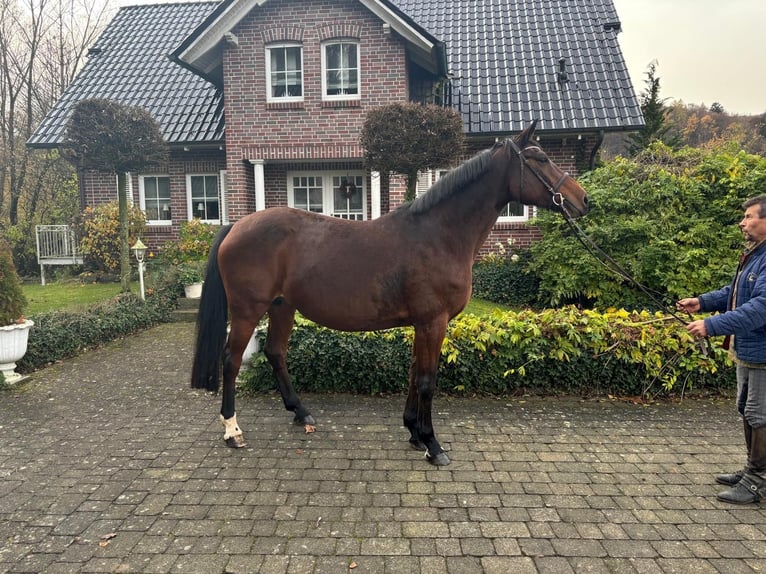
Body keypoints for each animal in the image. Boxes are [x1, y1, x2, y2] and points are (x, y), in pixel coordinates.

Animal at [191, 121, 588, 466]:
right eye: (540, 159)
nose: (583, 200)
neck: (439, 234)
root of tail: (236, 225)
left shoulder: (421, 324)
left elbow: (414, 373)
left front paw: (413, 431)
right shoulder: (433, 322)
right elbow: (427, 380)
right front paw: (432, 444)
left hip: (282, 307)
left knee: (275, 352)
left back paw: (301, 413)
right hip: (247, 310)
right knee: (231, 360)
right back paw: (232, 430)